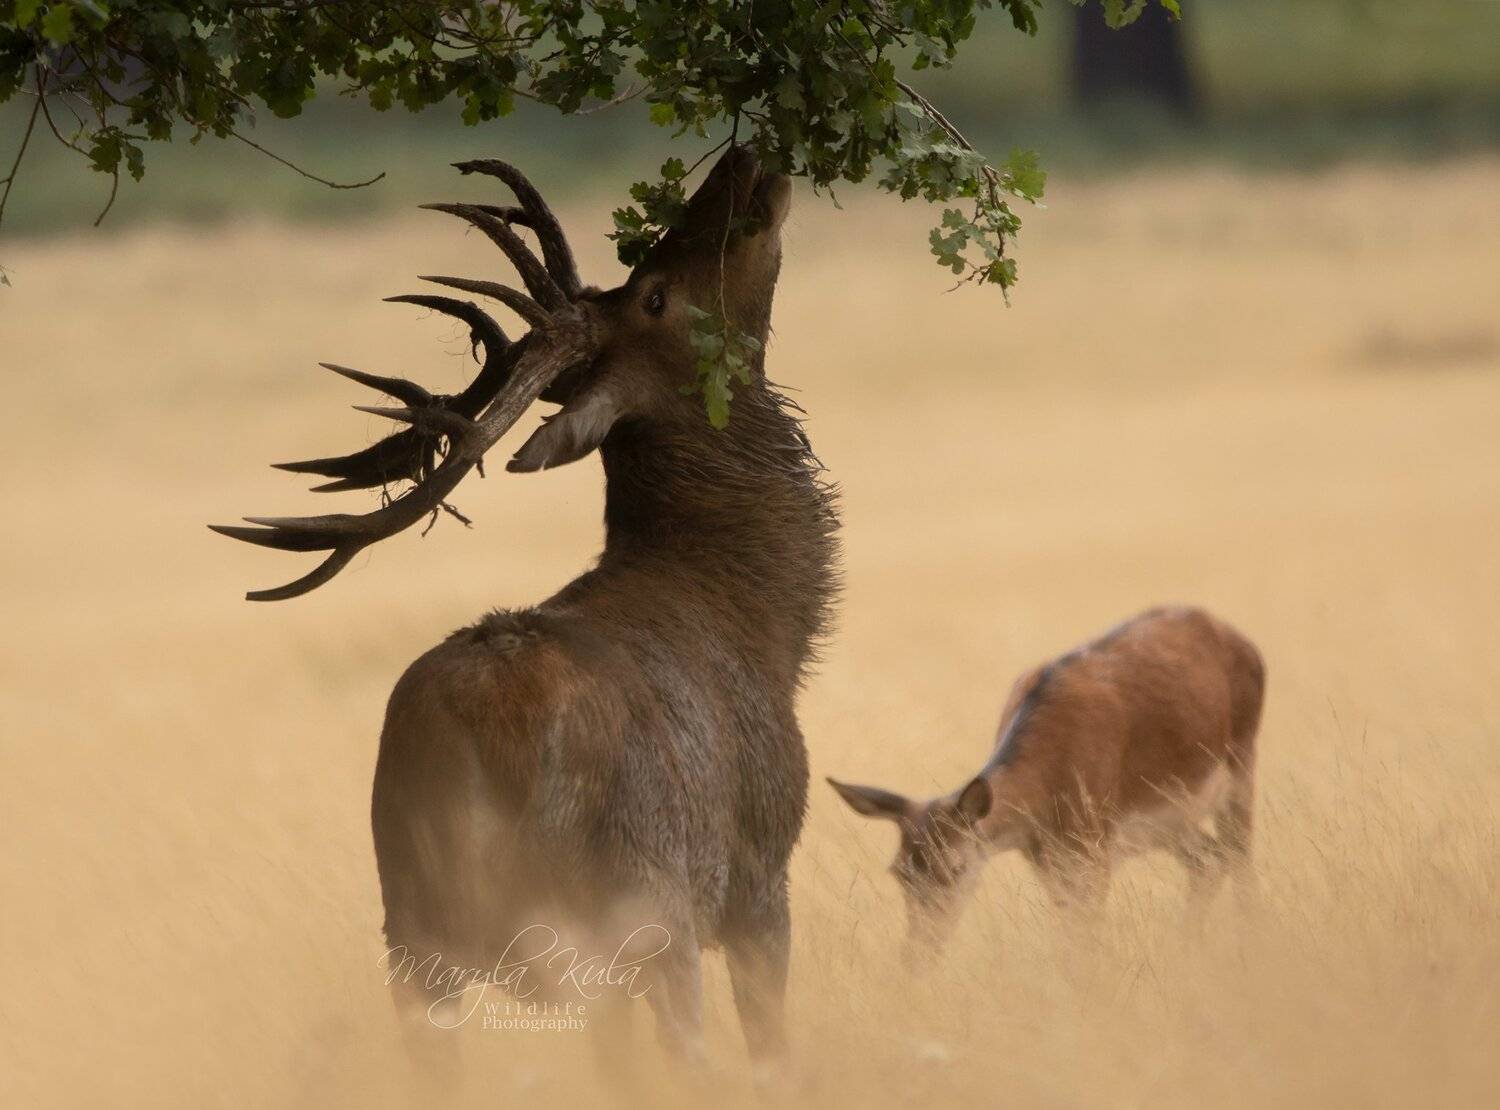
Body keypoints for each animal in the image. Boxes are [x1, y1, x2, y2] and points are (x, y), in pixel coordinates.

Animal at [211, 146, 838, 1075]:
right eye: (653, 294)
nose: (742, 160)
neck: (765, 624)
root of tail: (484, 744)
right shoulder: (762, 863)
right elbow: (773, 1054)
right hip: (645, 900)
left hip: (414, 932)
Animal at [829, 606, 1264, 953]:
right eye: (899, 871)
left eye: (955, 867)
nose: (917, 953)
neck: (1044, 796)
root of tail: (1246, 643)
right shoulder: (1043, 855)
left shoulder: (1094, 842)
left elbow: (1085, 936)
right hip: (1170, 820)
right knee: (1210, 860)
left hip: (1241, 763)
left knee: (1240, 858)